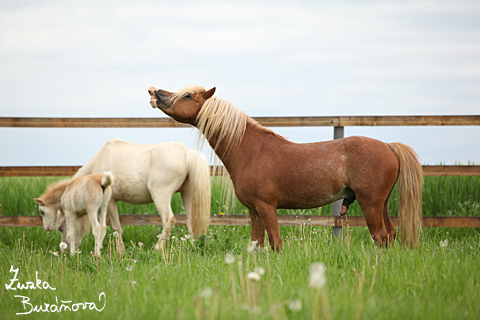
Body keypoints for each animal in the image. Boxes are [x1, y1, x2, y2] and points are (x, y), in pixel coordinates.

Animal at [65, 139, 210, 251]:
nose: (64, 248)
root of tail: (186, 152)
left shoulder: (110, 202)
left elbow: (116, 228)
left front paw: (120, 251)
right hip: (188, 194)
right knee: (191, 221)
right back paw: (192, 247)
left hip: (160, 195)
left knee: (168, 220)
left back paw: (158, 248)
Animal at [148, 85, 422, 250]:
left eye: (188, 96)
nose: (156, 92)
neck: (249, 150)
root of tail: (389, 146)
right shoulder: (254, 211)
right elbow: (257, 244)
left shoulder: (267, 208)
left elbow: (276, 243)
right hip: (381, 203)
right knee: (390, 234)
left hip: (370, 203)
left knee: (380, 236)